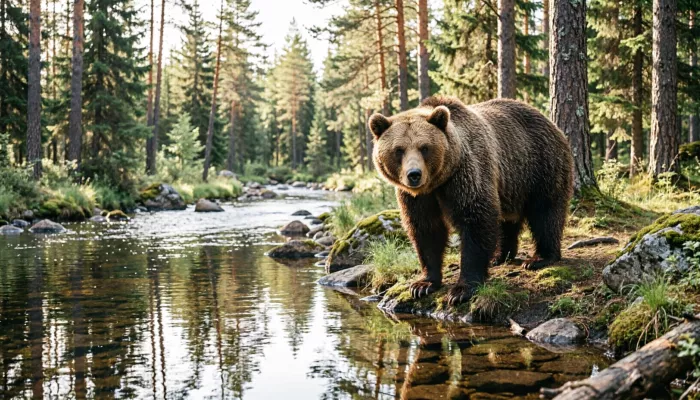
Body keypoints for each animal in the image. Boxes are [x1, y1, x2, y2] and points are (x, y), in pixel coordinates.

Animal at [368, 96, 574, 305]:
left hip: (539, 165)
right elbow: (426, 230)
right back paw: (500, 255)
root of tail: (550, 122)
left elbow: (476, 220)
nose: (414, 175)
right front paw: (423, 285)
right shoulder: (416, 197)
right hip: (511, 185)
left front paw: (461, 290)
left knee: (545, 212)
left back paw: (540, 258)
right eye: (399, 150)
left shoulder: (466, 174)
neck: (438, 182)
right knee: (507, 220)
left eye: (424, 147)